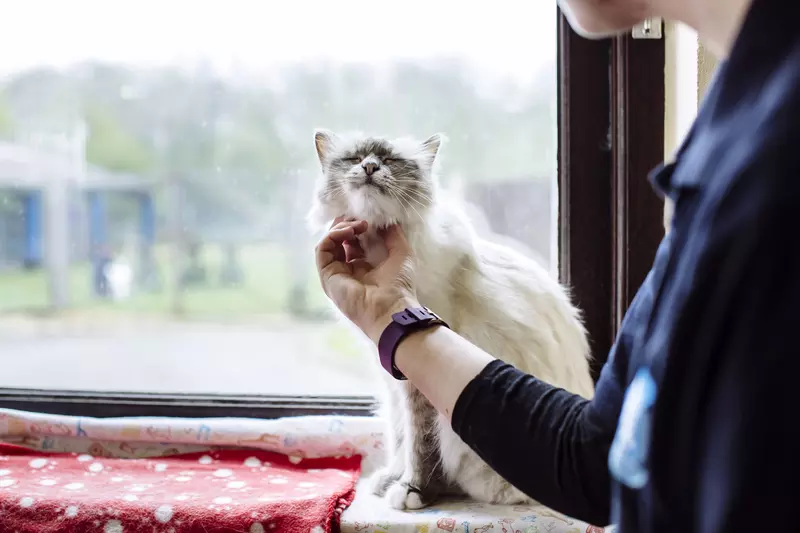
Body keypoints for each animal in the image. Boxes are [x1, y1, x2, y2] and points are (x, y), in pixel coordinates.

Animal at [306, 128, 592, 508]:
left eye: (390, 160)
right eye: (355, 159)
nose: (369, 168)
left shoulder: (414, 382)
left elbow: (419, 442)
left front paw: (413, 490)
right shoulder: (390, 368)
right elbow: (399, 435)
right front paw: (391, 479)